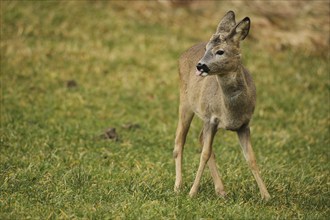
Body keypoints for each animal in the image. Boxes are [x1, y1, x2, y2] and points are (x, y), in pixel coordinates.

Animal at [173, 10, 270, 199]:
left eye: (220, 51)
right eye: (206, 49)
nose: (200, 66)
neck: (231, 112)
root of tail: (184, 52)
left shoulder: (244, 124)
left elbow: (251, 158)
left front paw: (266, 195)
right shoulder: (211, 118)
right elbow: (204, 154)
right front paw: (192, 192)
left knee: (200, 138)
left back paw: (221, 190)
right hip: (186, 102)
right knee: (180, 140)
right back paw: (178, 186)